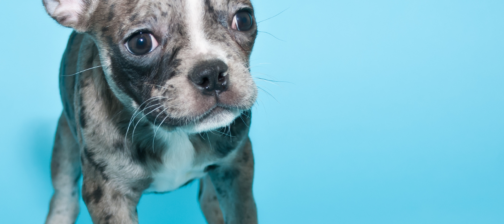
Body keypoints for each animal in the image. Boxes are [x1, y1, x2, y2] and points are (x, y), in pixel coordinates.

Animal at [41, 0, 258, 224]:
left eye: (244, 20)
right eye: (141, 43)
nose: (212, 73)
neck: (174, 133)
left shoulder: (235, 166)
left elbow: (243, 213)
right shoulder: (109, 194)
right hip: (64, 143)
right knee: (64, 194)